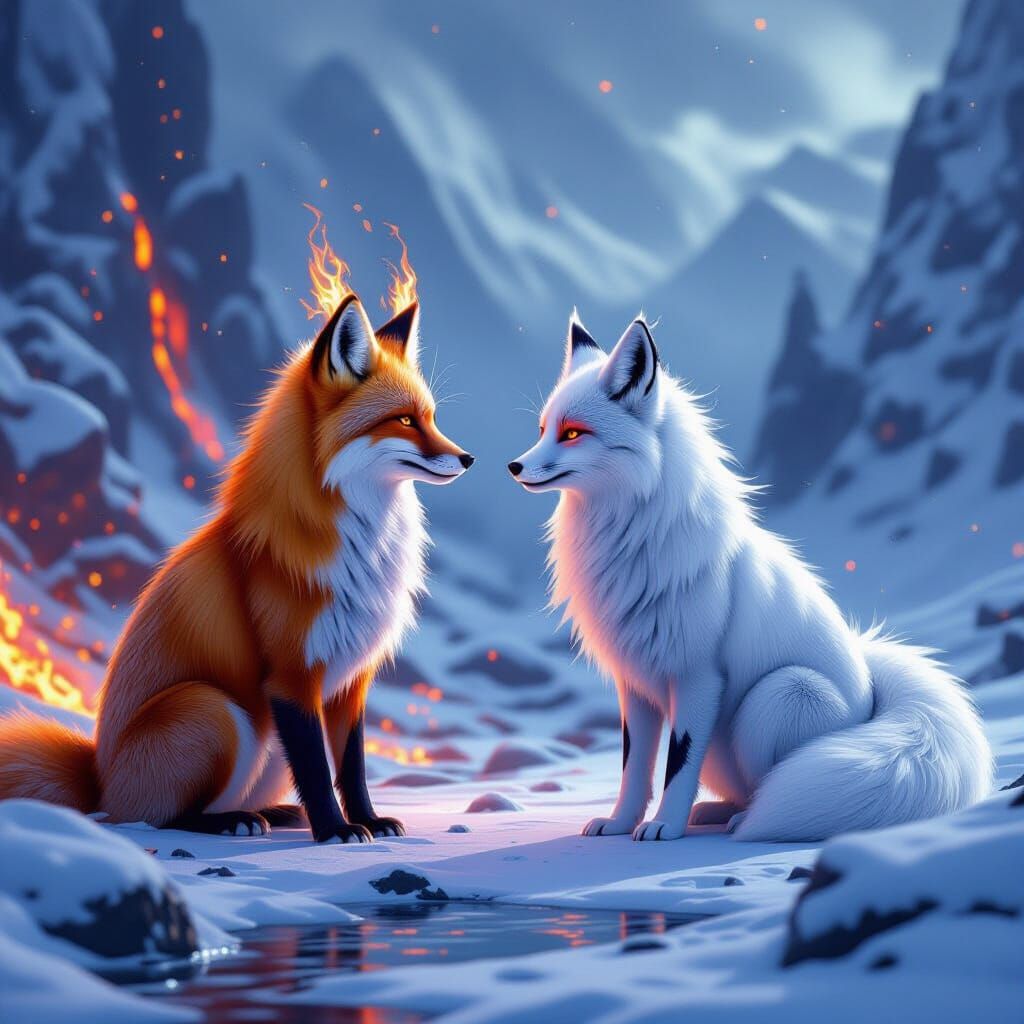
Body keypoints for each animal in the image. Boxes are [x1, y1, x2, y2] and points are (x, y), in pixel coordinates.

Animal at [0, 295, 473, 843]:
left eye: (431, 417)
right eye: (404, 421)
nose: (468, 458)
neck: (361, 547)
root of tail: (99, 780)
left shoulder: (352, 681)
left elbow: (351, 766)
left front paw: (368, 820)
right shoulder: (291, 675)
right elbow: (316, 768)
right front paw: (336, 831)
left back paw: (274, 813)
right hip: (213, 709)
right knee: (161, 818)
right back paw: (231, 822)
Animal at [509, 310, 992, 842]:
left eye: (573, 433)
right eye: (543, 429)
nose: (514, 466)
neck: (631, 542)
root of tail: (869, 694)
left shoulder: (698, 674)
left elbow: (678, 763)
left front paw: (664, 828)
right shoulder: (634, 681)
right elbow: (633, 765)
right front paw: (619, 823)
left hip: (777, 697)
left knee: (773, 783)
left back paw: (745, 819)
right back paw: (717, 812)